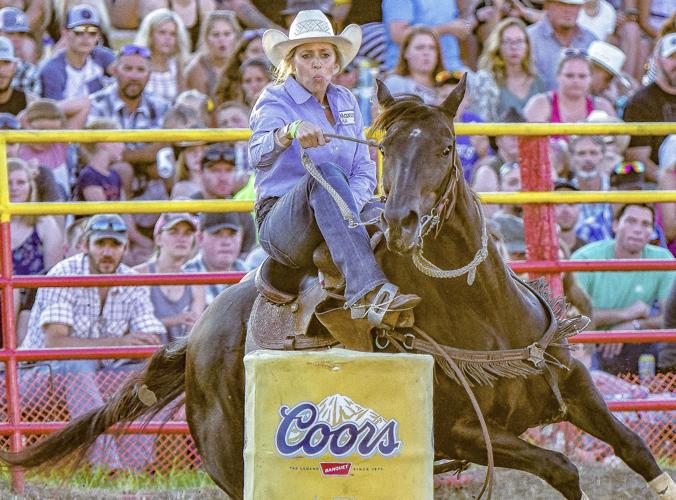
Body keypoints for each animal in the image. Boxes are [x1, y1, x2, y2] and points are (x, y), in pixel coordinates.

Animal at [0, 78, 672, 500]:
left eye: (446, 146)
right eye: (382, 150)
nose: (400, 221)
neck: (484, 315)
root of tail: (195, 338)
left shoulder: (575, 388)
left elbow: (636, 448)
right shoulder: (460, 432)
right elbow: (563, 467)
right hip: (234, 463)